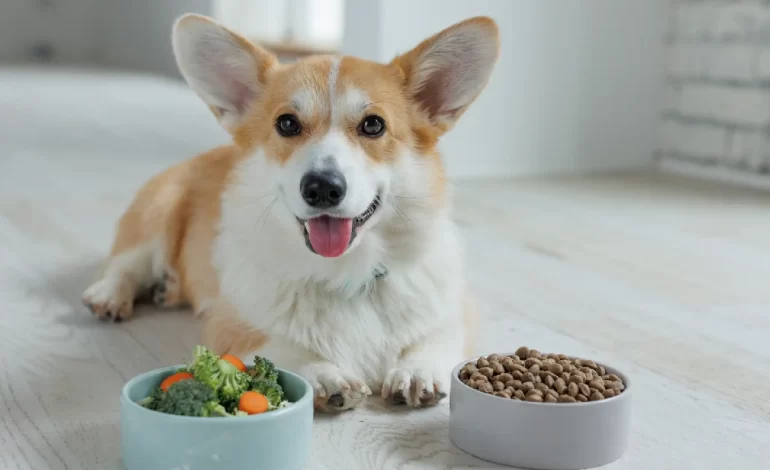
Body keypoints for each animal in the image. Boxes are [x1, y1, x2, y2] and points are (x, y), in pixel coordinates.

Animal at [82, 12, 498, 410]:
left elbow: (434, 339)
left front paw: (416, 370)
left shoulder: (455, 313)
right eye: (286, 123)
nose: (322, 188)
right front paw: (324, 373)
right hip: (159, 209)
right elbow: (282, 348)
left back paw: (167, 288)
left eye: (373, 125)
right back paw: (111, 295)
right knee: (125, 263)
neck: (346, 275)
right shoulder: (232, 328)